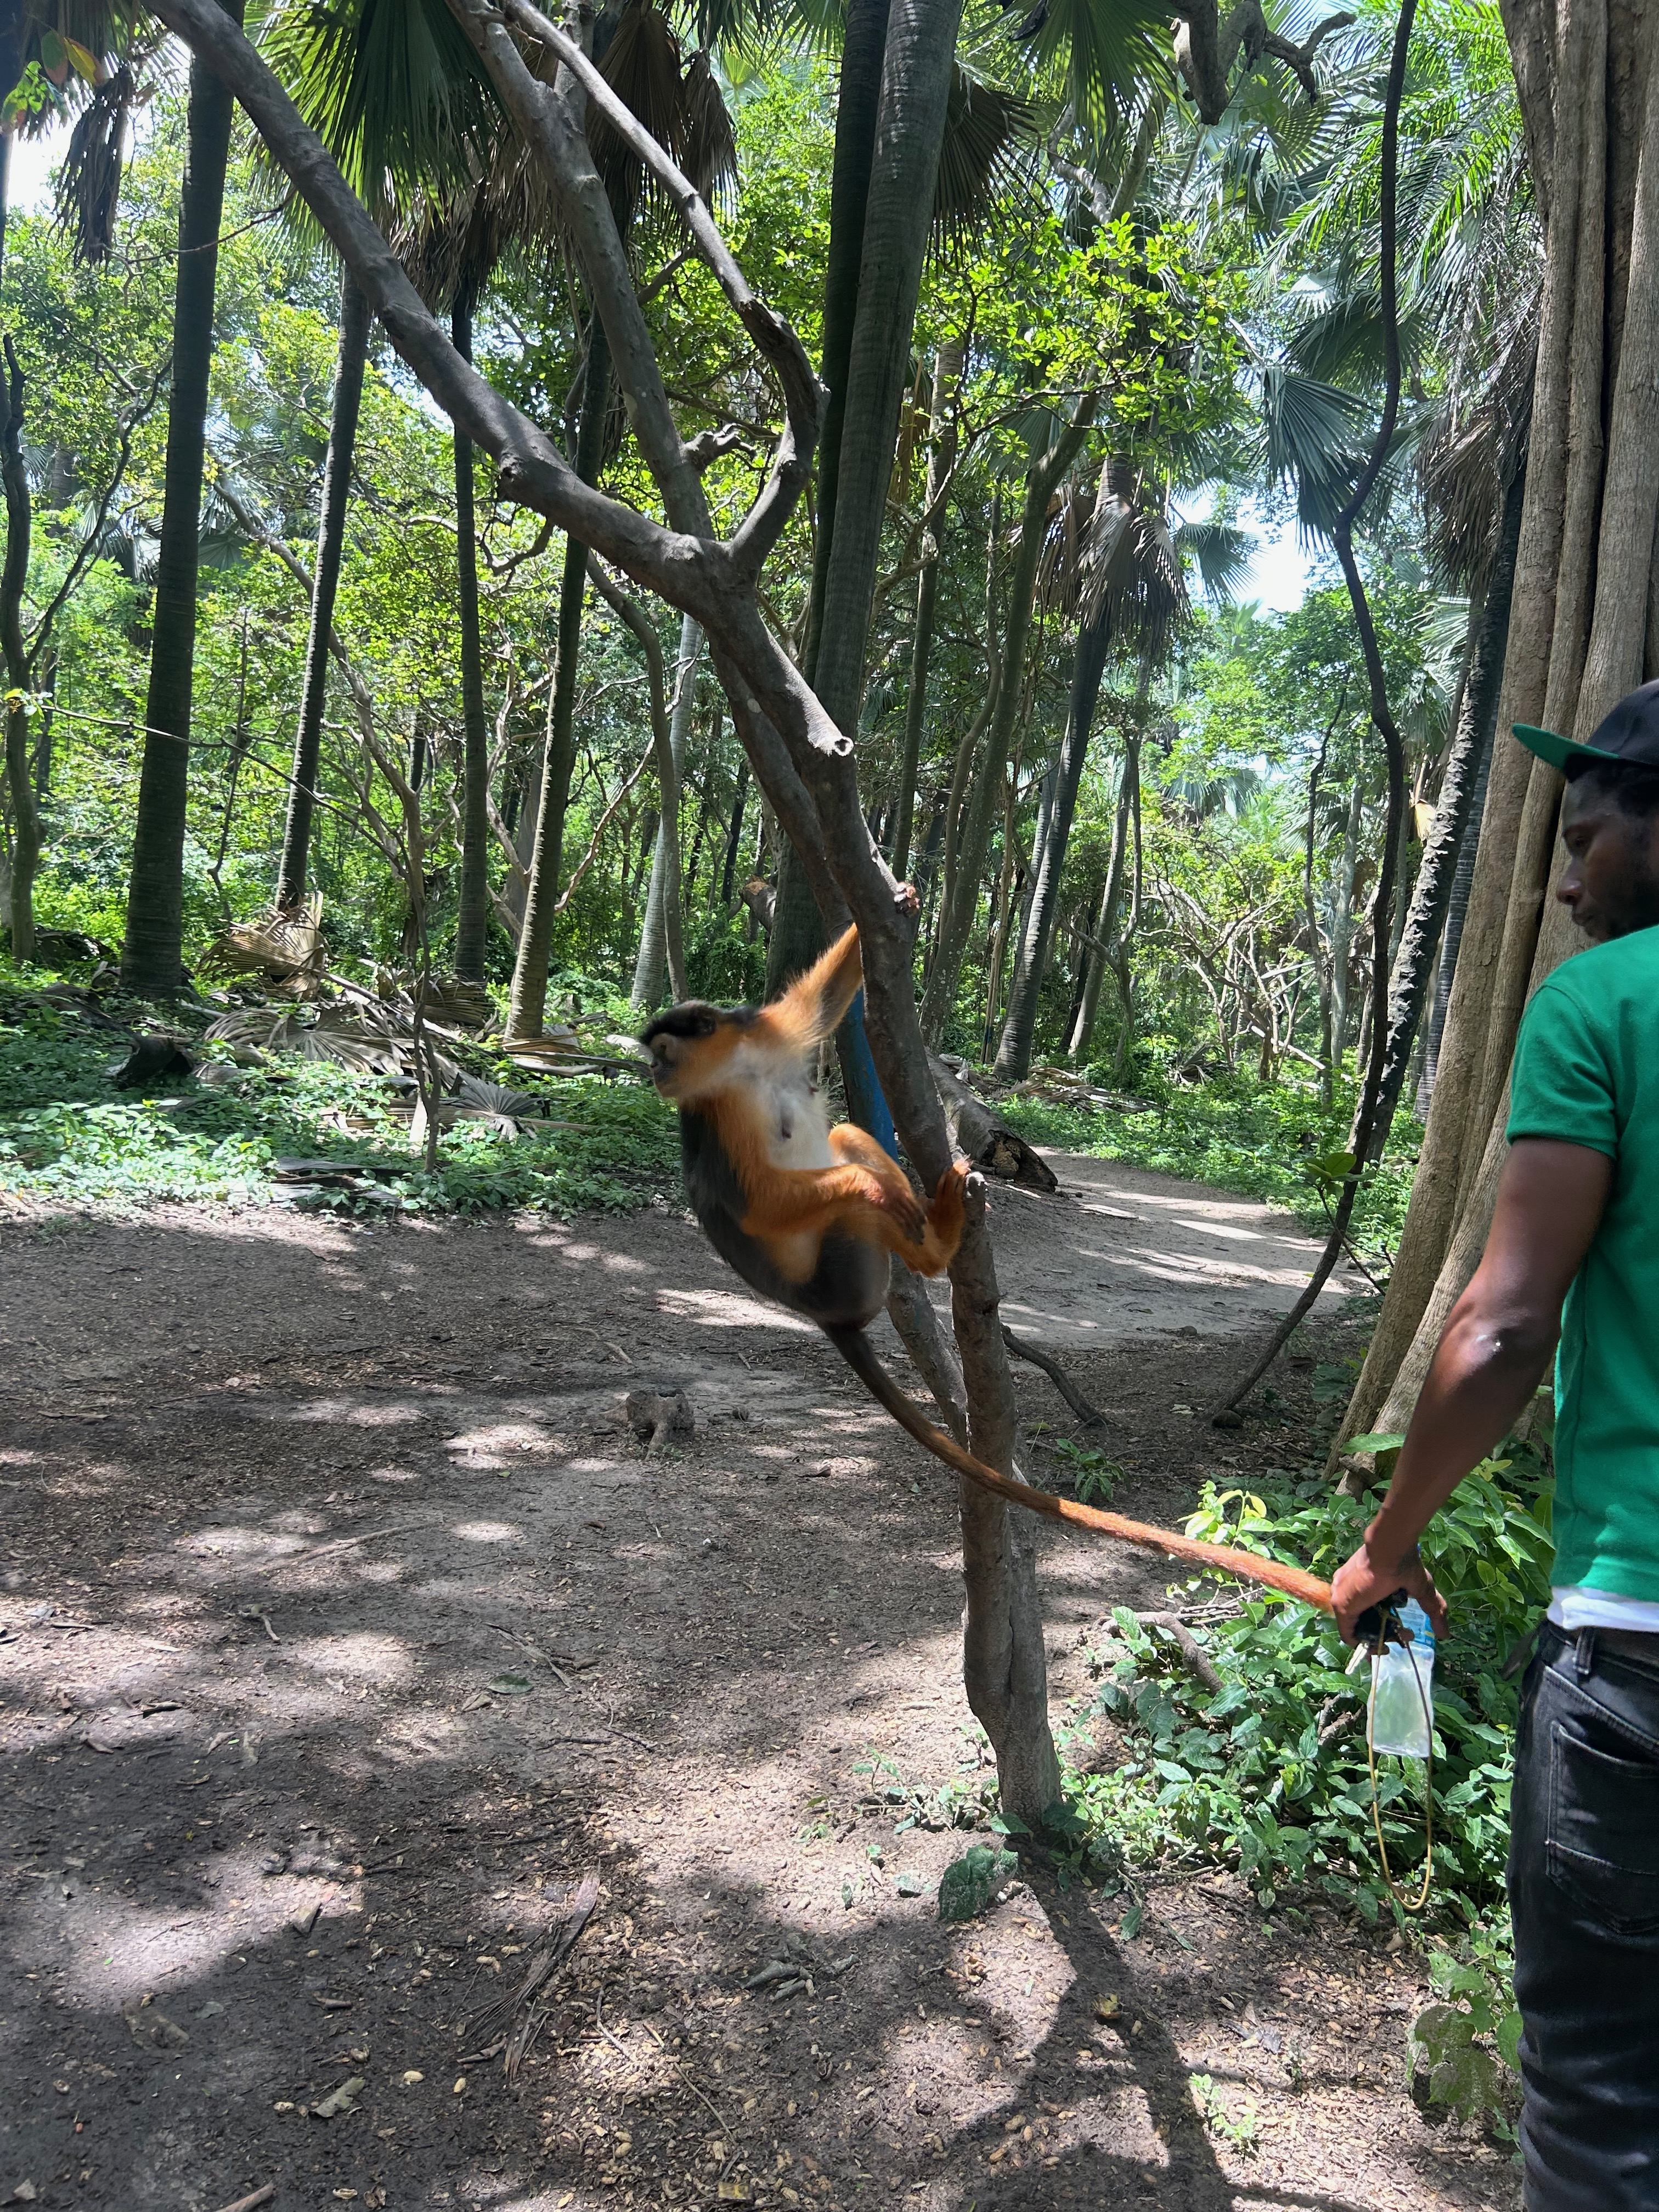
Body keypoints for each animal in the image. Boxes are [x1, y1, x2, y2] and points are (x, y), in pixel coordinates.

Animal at [642, 917, 1333, 1616]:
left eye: (662, 1053)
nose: (651, 1077)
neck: (742, 1071)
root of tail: (828, 1316)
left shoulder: (766, 1036)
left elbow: (827, 1000)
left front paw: (891, 906)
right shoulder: (714, 1117)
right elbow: (756, 1208)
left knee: (847, 1139)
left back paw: (930, 1221)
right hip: (845, 1269)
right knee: (852, 1200)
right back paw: (930, 1240)